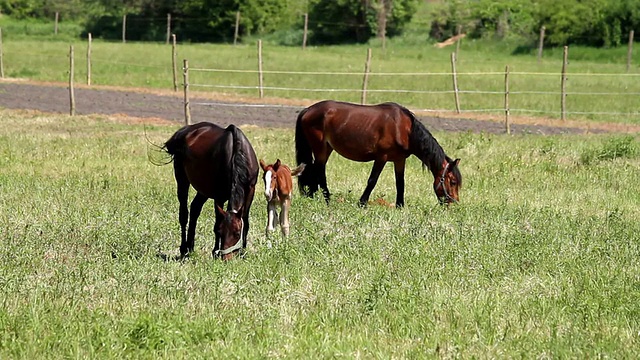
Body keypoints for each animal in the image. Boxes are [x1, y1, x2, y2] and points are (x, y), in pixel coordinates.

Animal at [162, 122, 258, 260]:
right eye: (221, 232)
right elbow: (217, 222)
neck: (237, 155)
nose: (227, 258)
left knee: (195, 209)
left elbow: (245, 220)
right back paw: (184, 249)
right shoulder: (219, 195)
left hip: (203, 190)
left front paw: (243, 251)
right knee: (184, 214)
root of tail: (185, 131)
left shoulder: (251, 190)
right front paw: (215, 252)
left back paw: (190, 248)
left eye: (236, 233)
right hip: (182, 178)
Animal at [296, 100, 460, 207]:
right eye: (453, 182)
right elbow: (372, 180)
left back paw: (314, 196)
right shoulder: (381, 158)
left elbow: (400, 183)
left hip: (327, 148)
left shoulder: (399, 160)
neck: (404, 129)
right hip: (320, 148)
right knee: (319, 172)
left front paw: (400, 206)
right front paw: (362, 203)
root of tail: (308, 110)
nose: (454, 204)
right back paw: (326, 199)